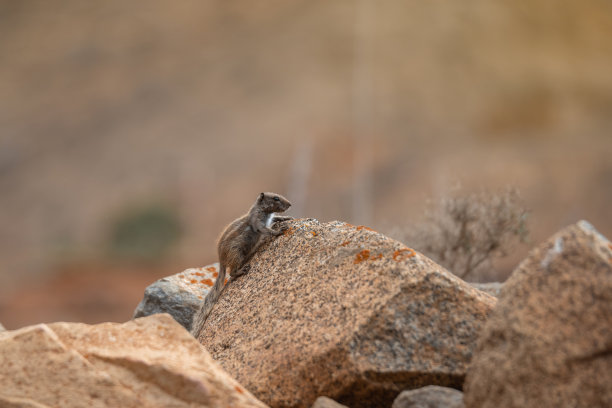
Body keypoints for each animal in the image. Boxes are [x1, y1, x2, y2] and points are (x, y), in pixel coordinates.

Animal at [190, 191, 292, 338]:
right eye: (276, 198)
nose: (290, 204)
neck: (263, 211)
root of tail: (221, 261)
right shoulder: (257, 221)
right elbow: (266, 230)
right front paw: (279, 231)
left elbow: (275, 219)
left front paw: (285, 218)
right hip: (236, 253)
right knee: (232, 272)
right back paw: (241, 270)